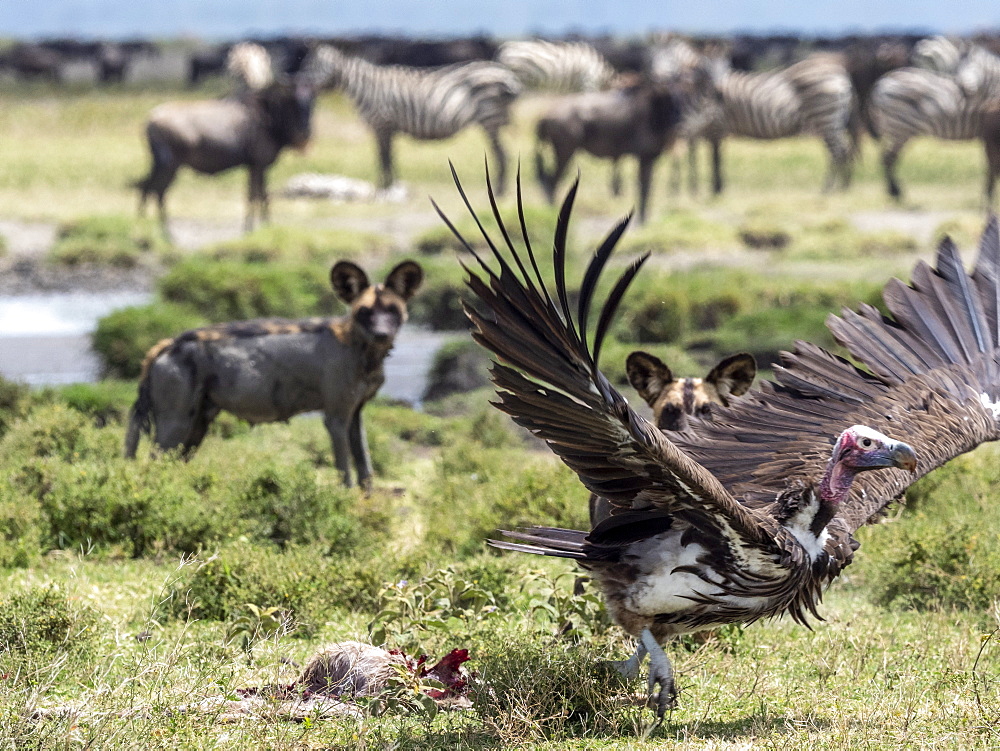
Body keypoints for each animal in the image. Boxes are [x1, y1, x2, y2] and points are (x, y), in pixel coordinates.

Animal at [124, 262, 422, 490]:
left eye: (392, 310)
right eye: (365, 311)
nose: (382, 334)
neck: (360, 349)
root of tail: (169, 344)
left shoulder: (355, 415)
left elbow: (365, 471)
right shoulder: (336, 418)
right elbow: (345, 471)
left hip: (195, 427)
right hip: (174, 427)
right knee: (153, 465)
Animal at [304, 44, 524, 194]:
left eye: (314, 66)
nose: (299, 82)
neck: (364, 88)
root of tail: (505, 73)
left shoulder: (382, 124)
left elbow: (383, 157)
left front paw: (385, 188)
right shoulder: (386, 127)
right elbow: (389, 157)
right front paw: (393, 186)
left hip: (490, 119)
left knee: (502, 155)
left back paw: (499, 192)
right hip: (493, 120)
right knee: (502, 154)